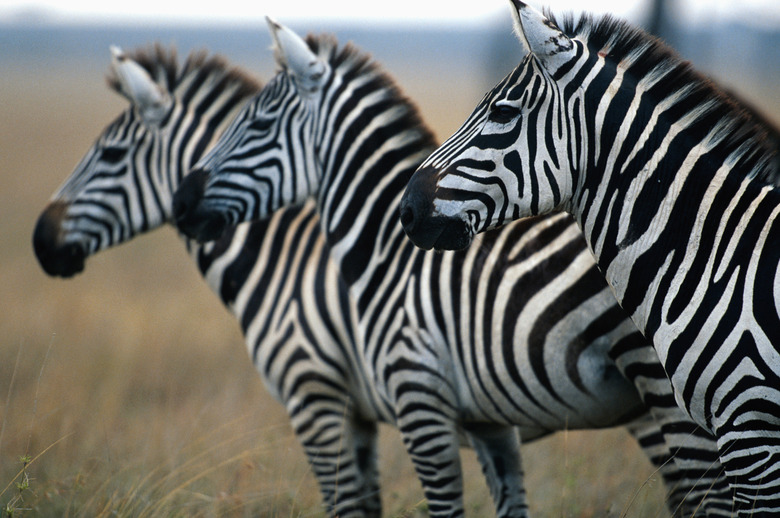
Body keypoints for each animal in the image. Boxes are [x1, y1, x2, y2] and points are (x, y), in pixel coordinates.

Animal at [172, 18, 736, 516]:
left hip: (669, 394)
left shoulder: (397, 401)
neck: (386, 259)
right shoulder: (483, 419)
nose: (182, 201)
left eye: (259, 123)